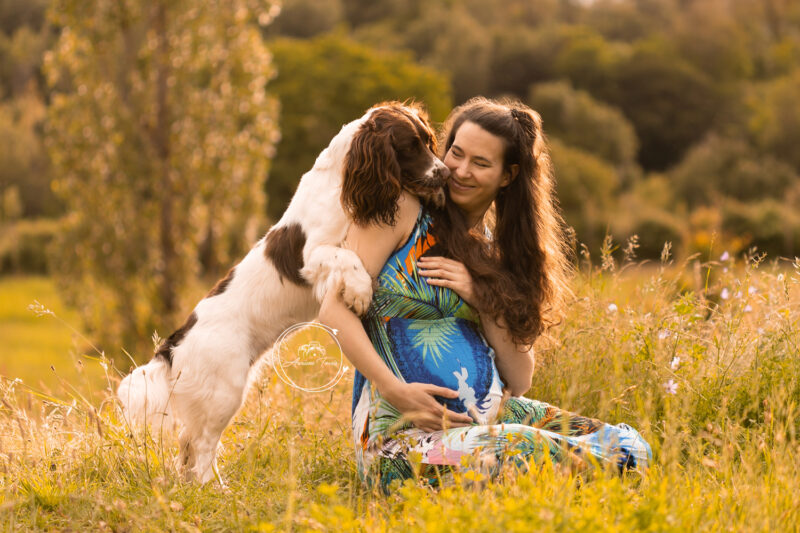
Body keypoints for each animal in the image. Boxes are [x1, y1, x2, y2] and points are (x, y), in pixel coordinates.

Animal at [117, 100, 450, 482]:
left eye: (428, 141)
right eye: (410, 146)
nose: (444, 173)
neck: (343, 184)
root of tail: (172, 346)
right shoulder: (313, 255)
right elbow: (348, 259)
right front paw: (360, 292)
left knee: (190, 446)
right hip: (224, 392)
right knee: (200, 447)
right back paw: (214, 488)